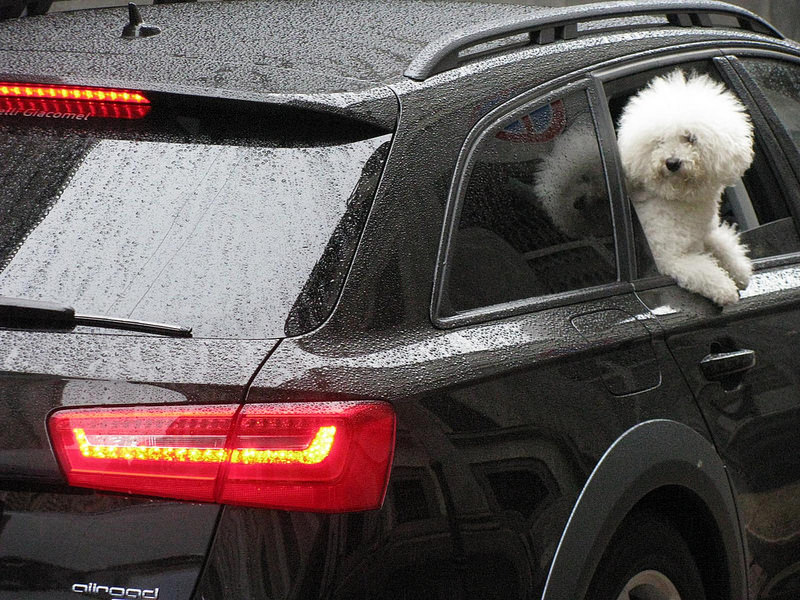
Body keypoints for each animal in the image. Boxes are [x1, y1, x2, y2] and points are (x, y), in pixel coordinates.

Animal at [616, 68, 752, 308]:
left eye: (690, 138)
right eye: (659, 141)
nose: (672, 162)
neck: (677, 198)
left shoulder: (705, 233)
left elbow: (723, 243)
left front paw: (741, 271)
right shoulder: (670, 258)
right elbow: (703, 271)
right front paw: (725, 289)